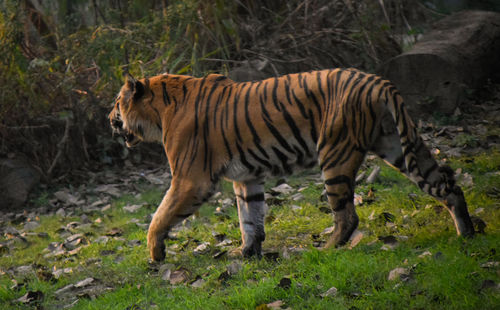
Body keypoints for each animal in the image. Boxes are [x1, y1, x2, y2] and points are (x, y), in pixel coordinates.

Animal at [107, 68, 474, 262]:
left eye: (117, 104)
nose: (109, 120)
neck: (159, 112)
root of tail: (377, 81)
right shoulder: (246, 178)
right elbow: (249, 217)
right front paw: (247, 253)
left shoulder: (190, 179)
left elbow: (160, 215)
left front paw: (154, 253)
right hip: (398, 147)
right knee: (447, 186)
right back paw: (467, 233)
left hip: (335, 156)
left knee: (347, 216)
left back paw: (325, 250)